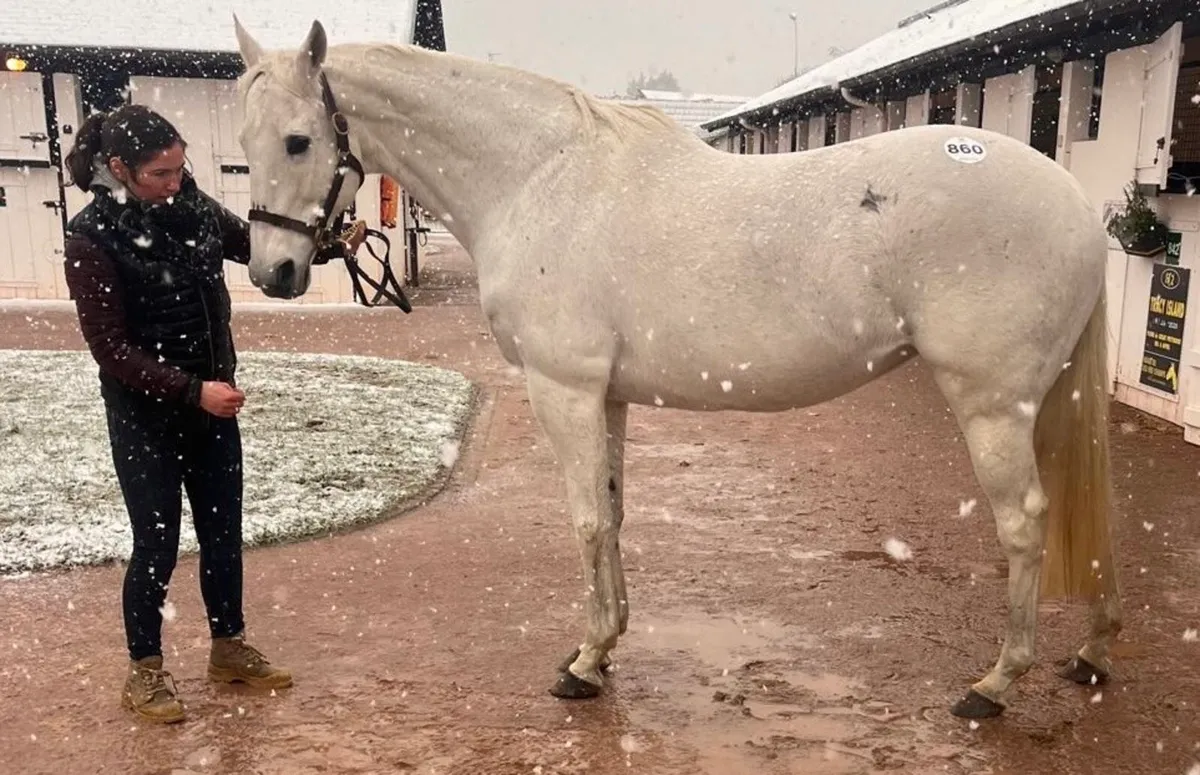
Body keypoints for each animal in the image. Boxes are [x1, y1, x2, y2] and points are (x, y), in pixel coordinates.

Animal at [230, 18, 1122, 720]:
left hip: (993, 405)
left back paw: (995, 684)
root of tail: (1077, 203)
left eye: (299, 140)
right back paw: (1093, 652)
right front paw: (604, 650)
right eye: (246, 145)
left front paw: (583, 664)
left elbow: (586, 521)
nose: (274, 272)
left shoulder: (563, 389)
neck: (537, 177)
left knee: (1025, 524)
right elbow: (615, 514)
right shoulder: (608, 397)